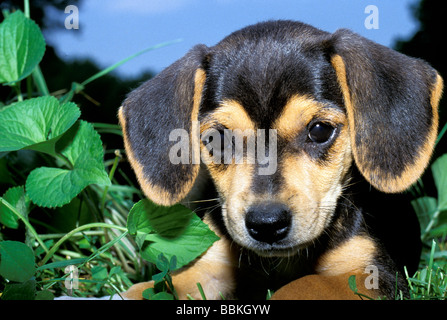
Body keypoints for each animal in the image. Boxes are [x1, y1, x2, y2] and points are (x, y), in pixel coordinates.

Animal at [117, 20, 442, 300]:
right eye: (217, 139)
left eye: (320, 130)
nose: (266, 224)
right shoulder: (211, 267)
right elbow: (160, 285)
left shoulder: (372, 273)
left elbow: (304, 284)